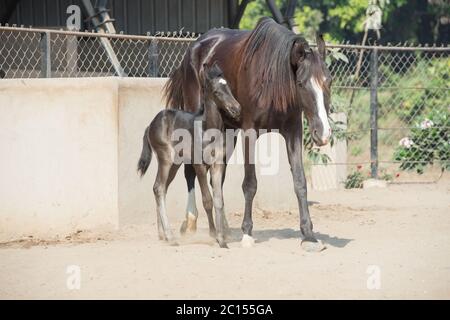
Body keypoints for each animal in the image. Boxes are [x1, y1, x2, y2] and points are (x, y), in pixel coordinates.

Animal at [137, 62, 241, 248]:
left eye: (228, 87)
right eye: (216, 92)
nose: (236, 109)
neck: (208, 131)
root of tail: (151, 125)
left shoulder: (217, 165)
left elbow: (218, 200)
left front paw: (222, 239)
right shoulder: (199, 165)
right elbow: (207, 199)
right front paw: (213, 234)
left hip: (174, 164)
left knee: (161, 188)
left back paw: (162, 235)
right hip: (165, 159)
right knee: (158, 188)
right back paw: (170, 237)